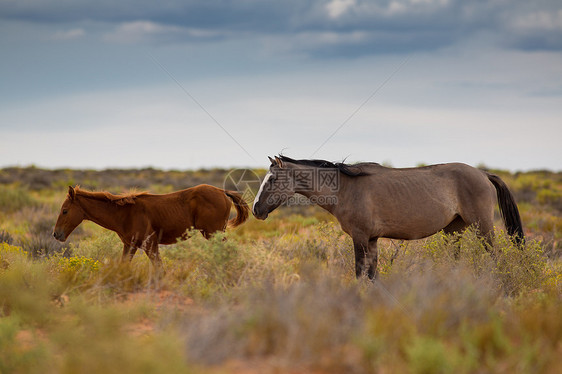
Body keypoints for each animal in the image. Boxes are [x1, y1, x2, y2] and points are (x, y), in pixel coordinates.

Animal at [53, 184, 248, 266]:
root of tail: (222, 191)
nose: (56, 234)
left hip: (214, 233)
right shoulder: (130, 245)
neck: (125, 213)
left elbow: (159, 268)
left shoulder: (150, 244)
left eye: (65, 211)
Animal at [252, 156, 524, 280]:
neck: (346, 189)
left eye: (272, 179)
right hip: (453, 231)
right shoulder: (372, 240)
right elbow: (372, 275)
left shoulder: (360, 238)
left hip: (482, 227)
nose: (256, 209)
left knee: (495, 257)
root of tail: (483, 173)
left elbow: (360, 272)